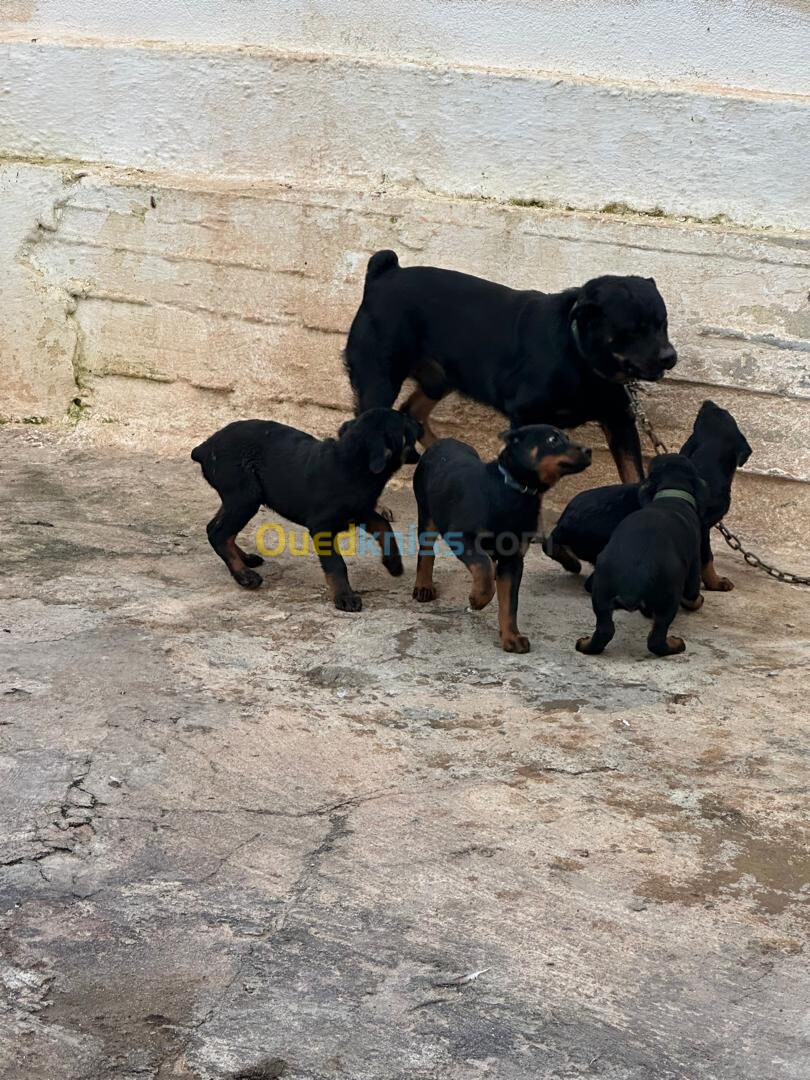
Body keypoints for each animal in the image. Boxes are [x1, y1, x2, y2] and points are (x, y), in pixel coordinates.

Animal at [190, 406, 419, 613]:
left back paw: (246, 559)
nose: (420, 424)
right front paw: (345, 597)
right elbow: (336, 564)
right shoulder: (321, 526)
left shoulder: (361, 511)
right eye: (406, 425)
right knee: (219, 534)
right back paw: (244, 575)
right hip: (245, 498)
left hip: (237, 500)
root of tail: (203, 448)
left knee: (216, 528)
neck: (352, 464)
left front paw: (393, 564)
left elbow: (384, 525)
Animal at [343, 252, 678, 481]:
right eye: (631, 330)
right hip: (379, 380)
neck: (580, 356)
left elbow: (634, 476)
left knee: (412, 411)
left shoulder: (620, 422)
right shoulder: (526, 415)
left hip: (441, 377)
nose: (669, 356)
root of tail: (383, 276)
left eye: (662, 324)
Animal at [414, 425, 591, 652]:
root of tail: (441, 442)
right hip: (426, 513)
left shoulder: (513, 559)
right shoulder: (462, 537)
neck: (513, 492)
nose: (589, 451)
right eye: (552, 440)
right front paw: (477, 599)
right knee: (426, 552)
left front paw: (511, 638)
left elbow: (509, 603)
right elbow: (483, 566)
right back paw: (424, 587)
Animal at [546, 401, 756, 591]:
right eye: (726, 412)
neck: (705, 465)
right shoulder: (703, 528)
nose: (707, 402)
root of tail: (562, 525)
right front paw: (716, 583)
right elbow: (707, 558)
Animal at [578, 453, 708, 656]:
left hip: (601, 593)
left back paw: (585, 645)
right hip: (668, 597)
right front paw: (698, 601)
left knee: (604, 629)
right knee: (656, 638)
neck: (671, 493)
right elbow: (693, 593)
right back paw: (675, 645)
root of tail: (634, 578)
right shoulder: (694, 563)